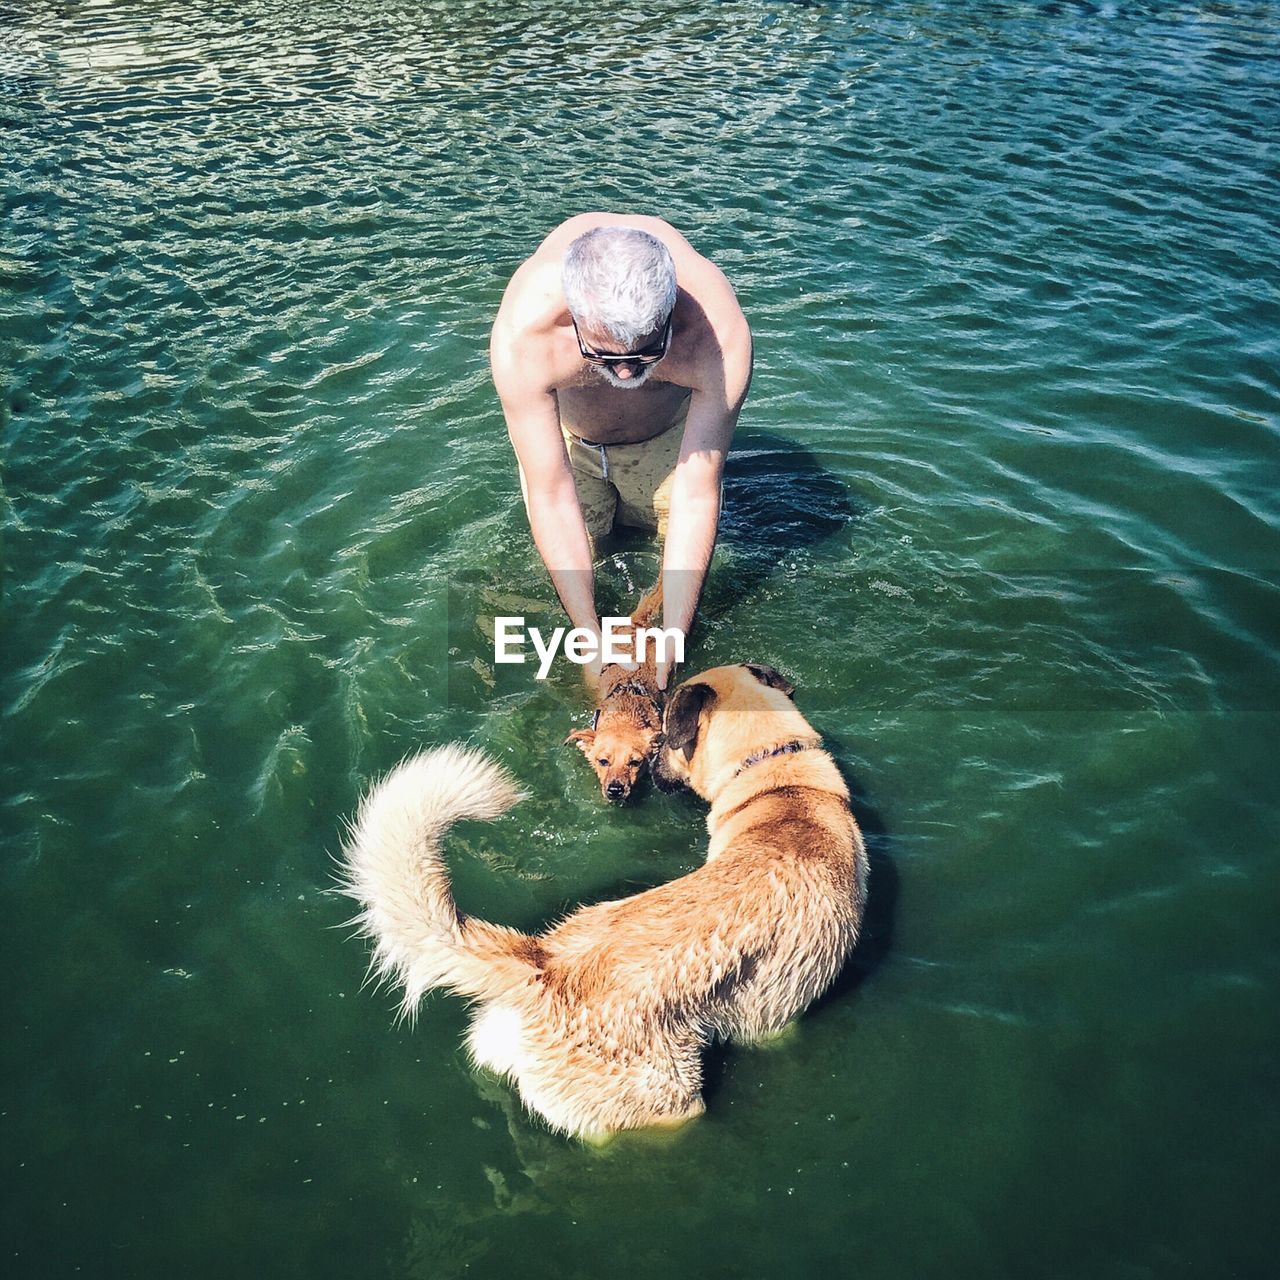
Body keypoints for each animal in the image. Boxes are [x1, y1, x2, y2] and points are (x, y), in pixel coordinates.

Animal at [337, 665, 870, 1136]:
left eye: (659, 742)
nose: (649, 770)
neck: (781, 777)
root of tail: (544, 965)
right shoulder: (775, 1020)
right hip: (669, 1101)